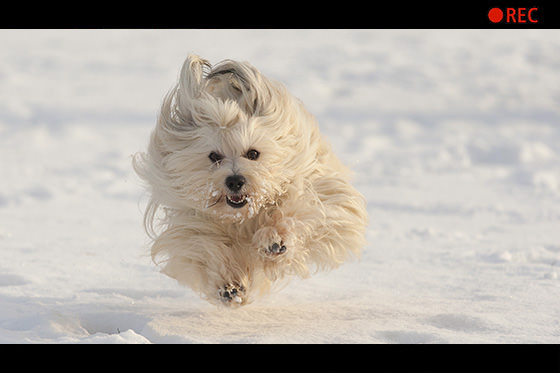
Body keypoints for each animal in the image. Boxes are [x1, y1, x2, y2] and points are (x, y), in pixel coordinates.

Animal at [134, 54, 370, 306]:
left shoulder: (320, 194)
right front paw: (229, 285)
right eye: (214, 156)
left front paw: (275, 239)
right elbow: (205, 245)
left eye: (253, 153)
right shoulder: (192, 221)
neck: (243, 216)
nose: (235, 181)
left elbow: (300, 209)